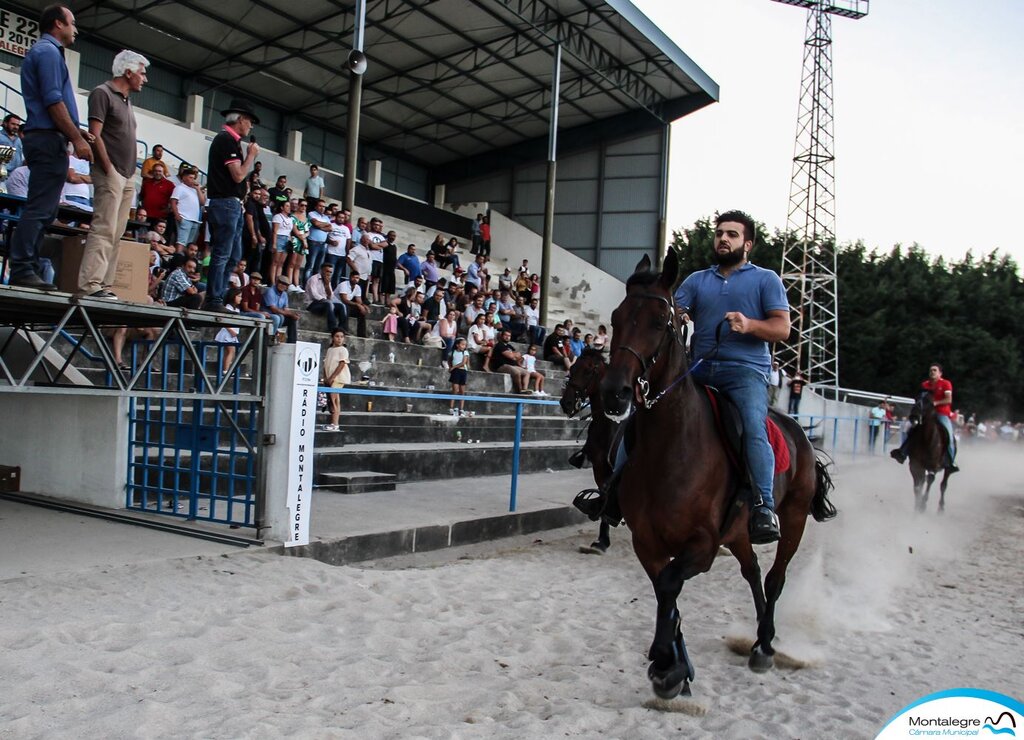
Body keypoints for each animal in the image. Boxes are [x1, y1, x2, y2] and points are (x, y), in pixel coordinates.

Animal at [561, 350, 614, 552]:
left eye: (588, 371)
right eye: (572, 369)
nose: (566, 403)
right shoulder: (599, 466)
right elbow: (604, 494)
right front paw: (602, 541)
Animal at [598, 251, 831, 695]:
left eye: (660, 321)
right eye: (617, 317)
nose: (614, 392)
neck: (671, 448)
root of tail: (799, 433)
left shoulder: (703, 544)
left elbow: (670, 585)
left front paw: (665, 662)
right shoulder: (647, 541)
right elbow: (664, 591)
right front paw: (674, 665)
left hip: (792, 520)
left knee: (775, 577)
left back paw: (765, 645)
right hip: (737, 533)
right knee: (752, 571)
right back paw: (758, 639)